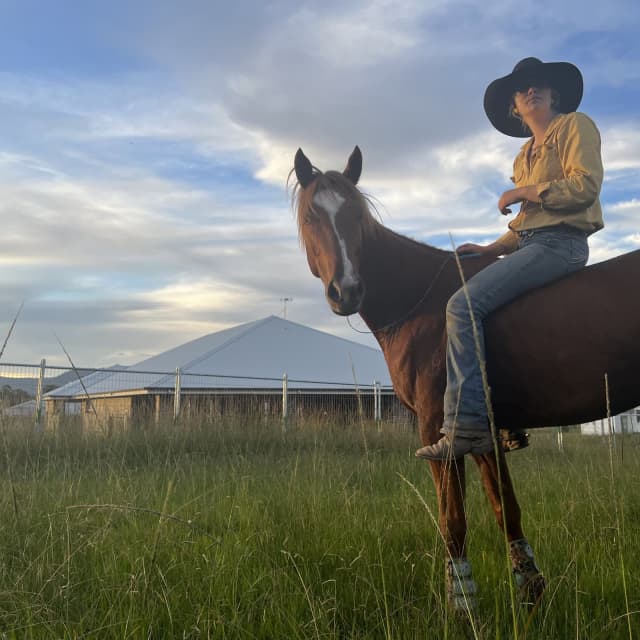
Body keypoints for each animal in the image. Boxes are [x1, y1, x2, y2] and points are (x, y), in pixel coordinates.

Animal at [291, 145, 640, 610]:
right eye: (313, 216)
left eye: (356, 217)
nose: (345, 291)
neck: (422, 304)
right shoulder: (481, 434)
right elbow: (505, 509)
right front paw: (530, 593)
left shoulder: (438, 430)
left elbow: (453, 521)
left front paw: (461, 603)